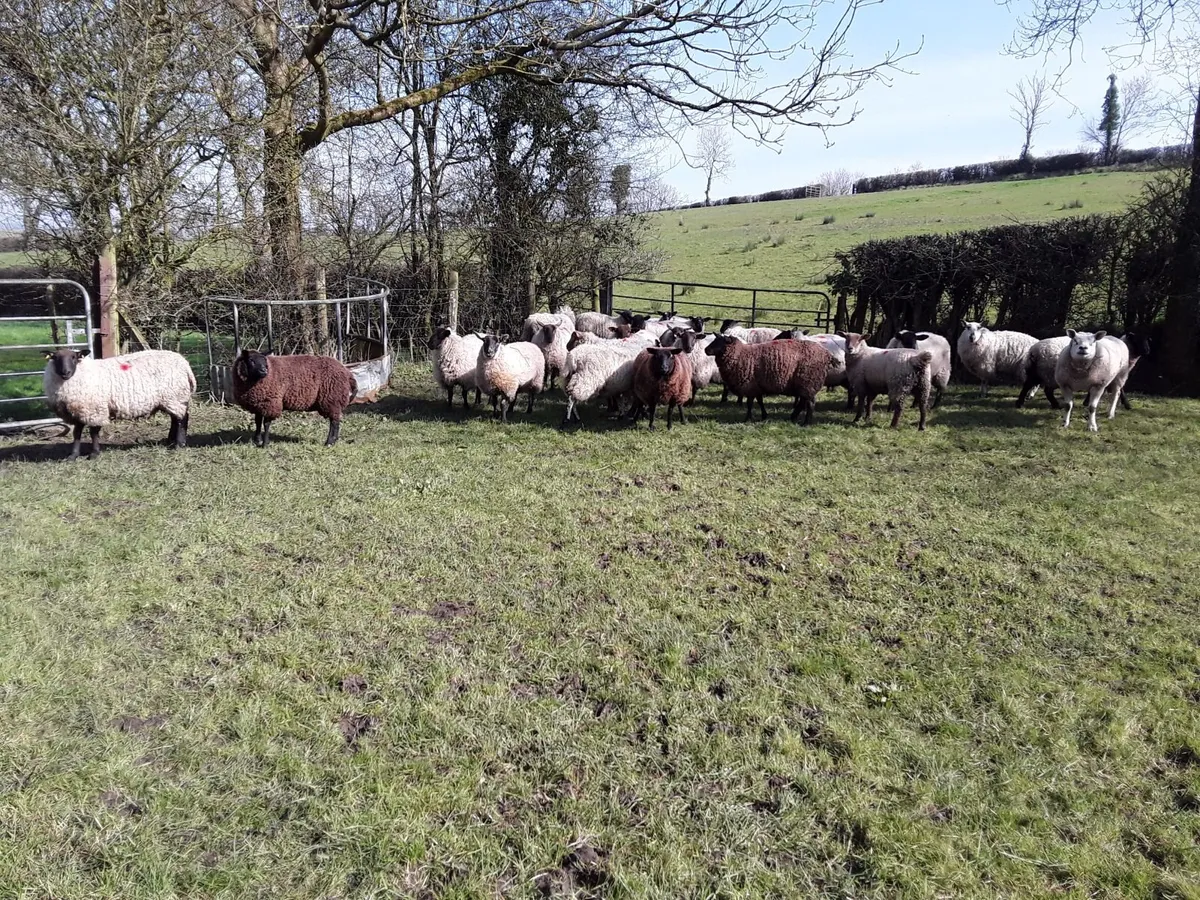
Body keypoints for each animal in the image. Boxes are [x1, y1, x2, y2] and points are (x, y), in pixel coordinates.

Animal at [42, 347, 196, 460]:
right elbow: (77, 433)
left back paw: (179, 444)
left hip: (175, 396)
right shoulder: (78, 410)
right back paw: (170, 440)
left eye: (74, 357)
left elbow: (94, 432)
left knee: (182, 419)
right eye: (54, 358)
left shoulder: (95, 410)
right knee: (175, 419)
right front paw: (73, 456)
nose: (66, 372)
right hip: (170, 399)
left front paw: (94, 454)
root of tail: (184, 363)